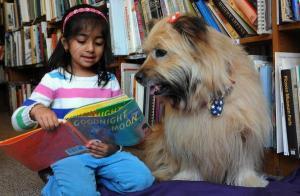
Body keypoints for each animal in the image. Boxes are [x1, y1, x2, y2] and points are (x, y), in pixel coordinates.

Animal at [134, 15, 272, 187]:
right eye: (146, 54)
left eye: (160, 52)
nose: (137, 77)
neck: (211, 98)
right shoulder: (186, 136)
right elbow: (190, 162)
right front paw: (186, 178)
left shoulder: (245, 134)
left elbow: (243, 163)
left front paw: (249, 181)